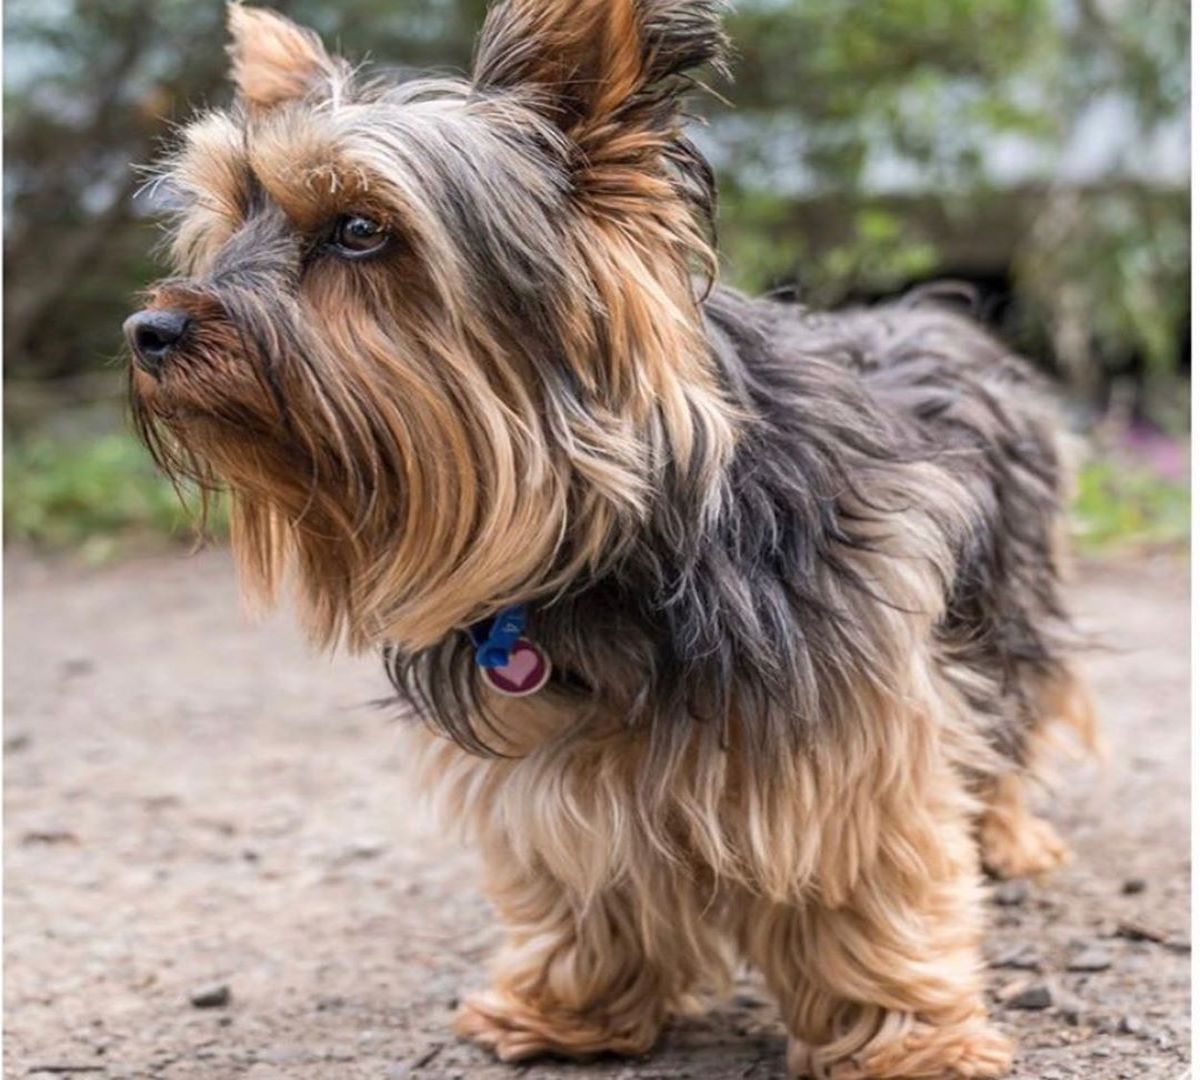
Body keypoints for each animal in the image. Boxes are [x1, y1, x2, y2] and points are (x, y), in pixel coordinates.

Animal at [129, 4, 1099, 1075]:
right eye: (230, 219)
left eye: (359, 230)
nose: (150, 330)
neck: (613, 543)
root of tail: (938, 313)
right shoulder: (552, 757)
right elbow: (581, 873)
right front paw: (570, 1006)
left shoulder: (852, 727)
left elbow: (861, 881)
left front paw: (904, 1039)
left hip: (1005, 603)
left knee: (1013, 713)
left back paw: (1009, 838)